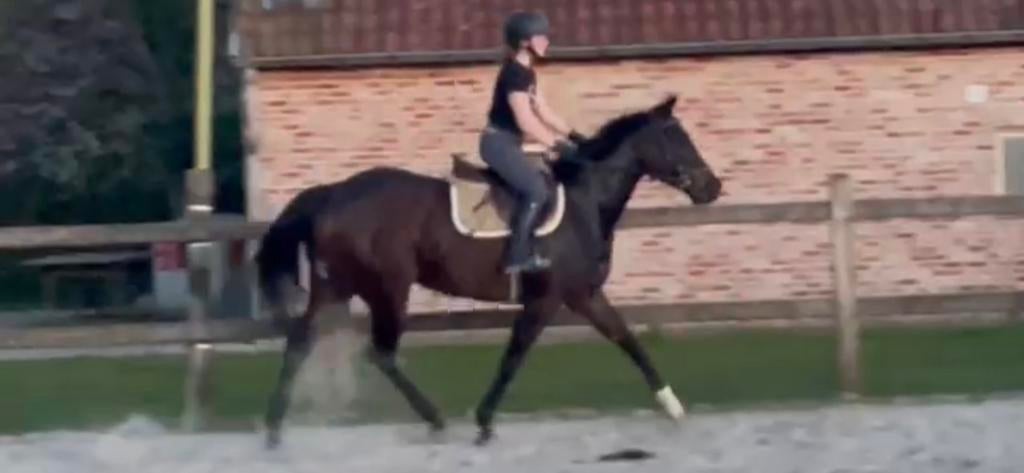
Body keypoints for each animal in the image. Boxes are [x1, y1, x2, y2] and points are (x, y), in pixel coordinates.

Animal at [254, 94, 722, 448]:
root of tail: (333, 194)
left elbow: (629, 342)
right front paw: (483, 421)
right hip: (387, 289)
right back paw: (434, 418)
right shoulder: (546, 299)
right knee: (380, 352)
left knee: (300, 343)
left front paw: (673, 406)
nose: (712, 187)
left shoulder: (585, 295)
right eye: (675, 137)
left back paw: (275, 429)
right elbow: (514, 357)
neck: (584, 201)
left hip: (336, 286)